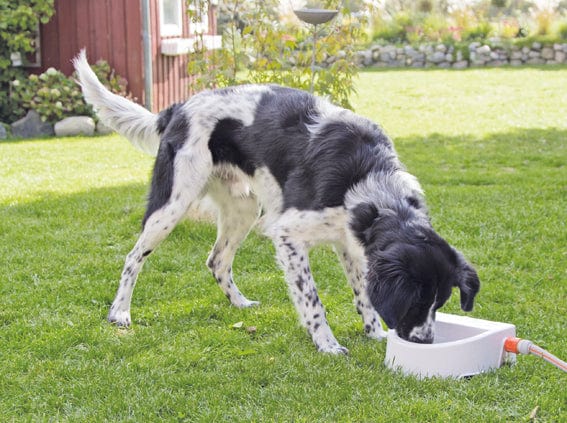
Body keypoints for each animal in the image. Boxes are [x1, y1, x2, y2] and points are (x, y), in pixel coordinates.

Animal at [74, 50, 480, 354]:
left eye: (439, 303)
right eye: (416, 302)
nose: (425, 341)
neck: (369, 181)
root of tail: (178, 107)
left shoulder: (350, 242)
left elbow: (363, 293)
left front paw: (374, 332)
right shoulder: (288, 234)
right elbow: (313, 300)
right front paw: (327, 344)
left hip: (243, 208)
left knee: (216, 260)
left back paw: (239, 304)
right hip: (172, 203)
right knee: (133, 257)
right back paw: (120, 313)